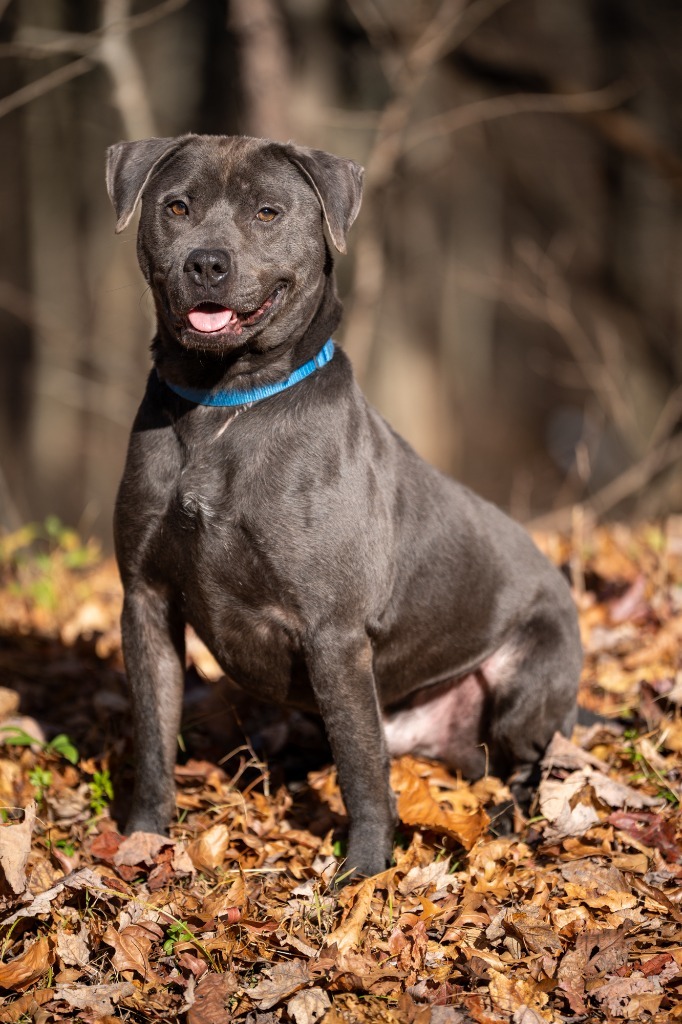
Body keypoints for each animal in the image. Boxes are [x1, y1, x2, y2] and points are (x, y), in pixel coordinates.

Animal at [104, 130, 577, 880]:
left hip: (527, 684)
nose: (206, 262)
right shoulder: (145, 599)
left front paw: (364, 871)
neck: (223, 407)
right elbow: (154, 737)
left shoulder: (333, 631)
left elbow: (360, 768)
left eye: (267, 212)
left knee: (536, 766)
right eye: (176, 206)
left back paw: (507, 820)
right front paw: (143, 842)